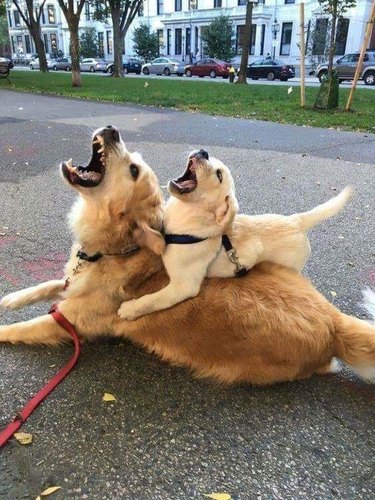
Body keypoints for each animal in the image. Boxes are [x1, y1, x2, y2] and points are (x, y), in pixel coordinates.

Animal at [119, 149, 354, 320]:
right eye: (210, 158)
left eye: (218, 175)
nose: (203, 151)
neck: (184, 224)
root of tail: (297, 220)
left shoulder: (183, 287)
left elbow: (152, 300)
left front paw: (129, 309)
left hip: (292, 265)